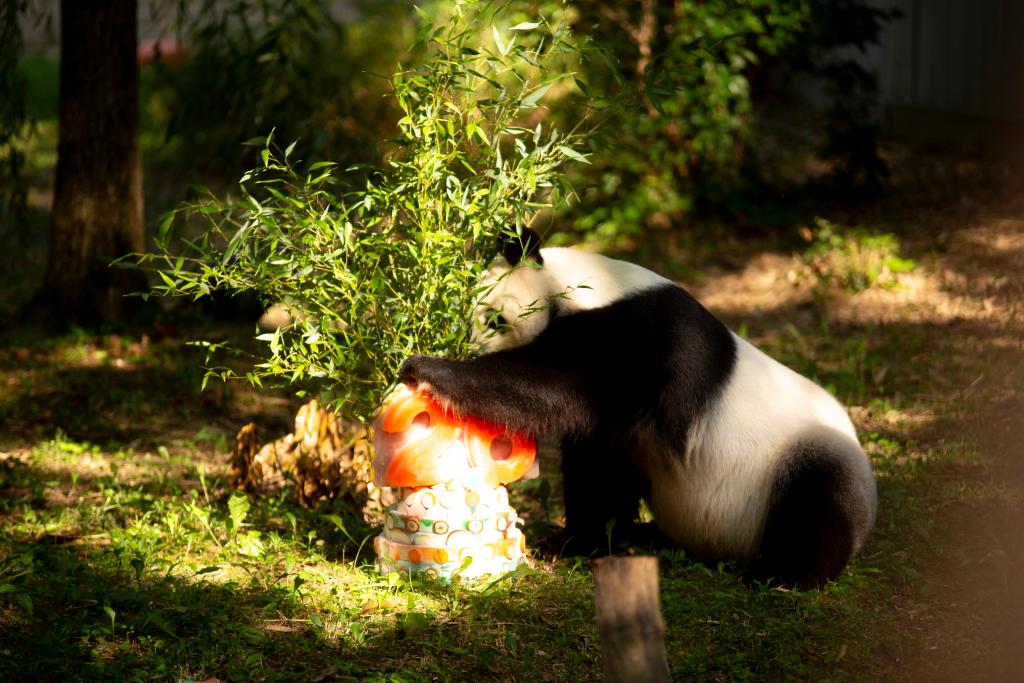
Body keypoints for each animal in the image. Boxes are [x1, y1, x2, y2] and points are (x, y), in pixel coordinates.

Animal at [395, 232, 876, 585]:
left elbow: (557, 387)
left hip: (805, 459)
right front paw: (578, 540)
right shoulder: (623, 423)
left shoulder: (644, 342)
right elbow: (597, 462)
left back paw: (783, 573)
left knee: (818, 501)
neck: (590, 285)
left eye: (495, 319)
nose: (468, 347)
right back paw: (647, 535)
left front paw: (428, 370)